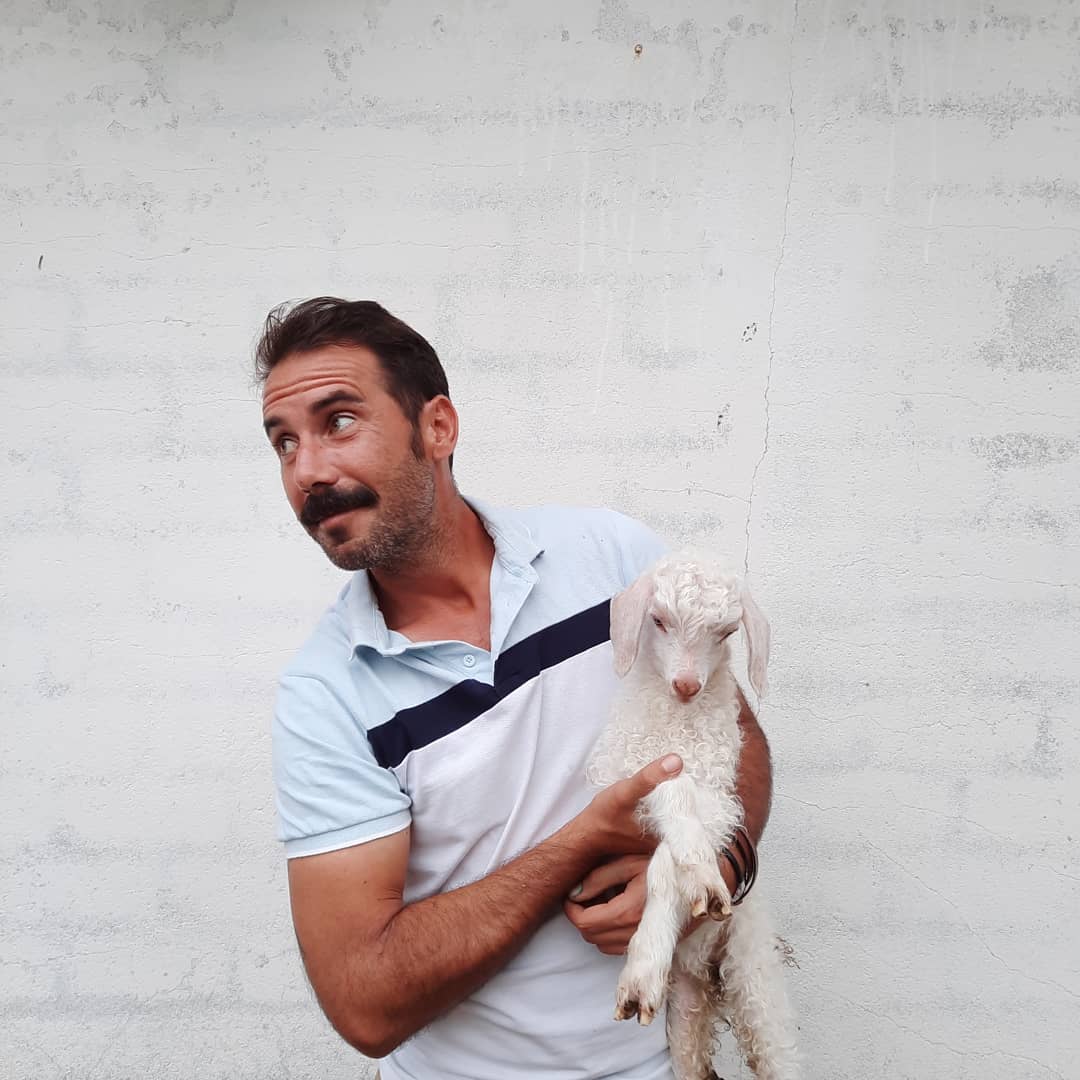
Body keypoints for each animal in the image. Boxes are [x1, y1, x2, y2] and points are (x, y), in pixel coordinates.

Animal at [587, 553, 798, 1080]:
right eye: (659, 621)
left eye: (726, 632)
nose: (687, 685)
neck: (678, 725)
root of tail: (709, 979)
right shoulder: (620, 773)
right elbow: (671, 786)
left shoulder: (722, 798)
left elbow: (670, 861)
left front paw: (700, 878)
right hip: (684, 1015)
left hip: (755, 980)